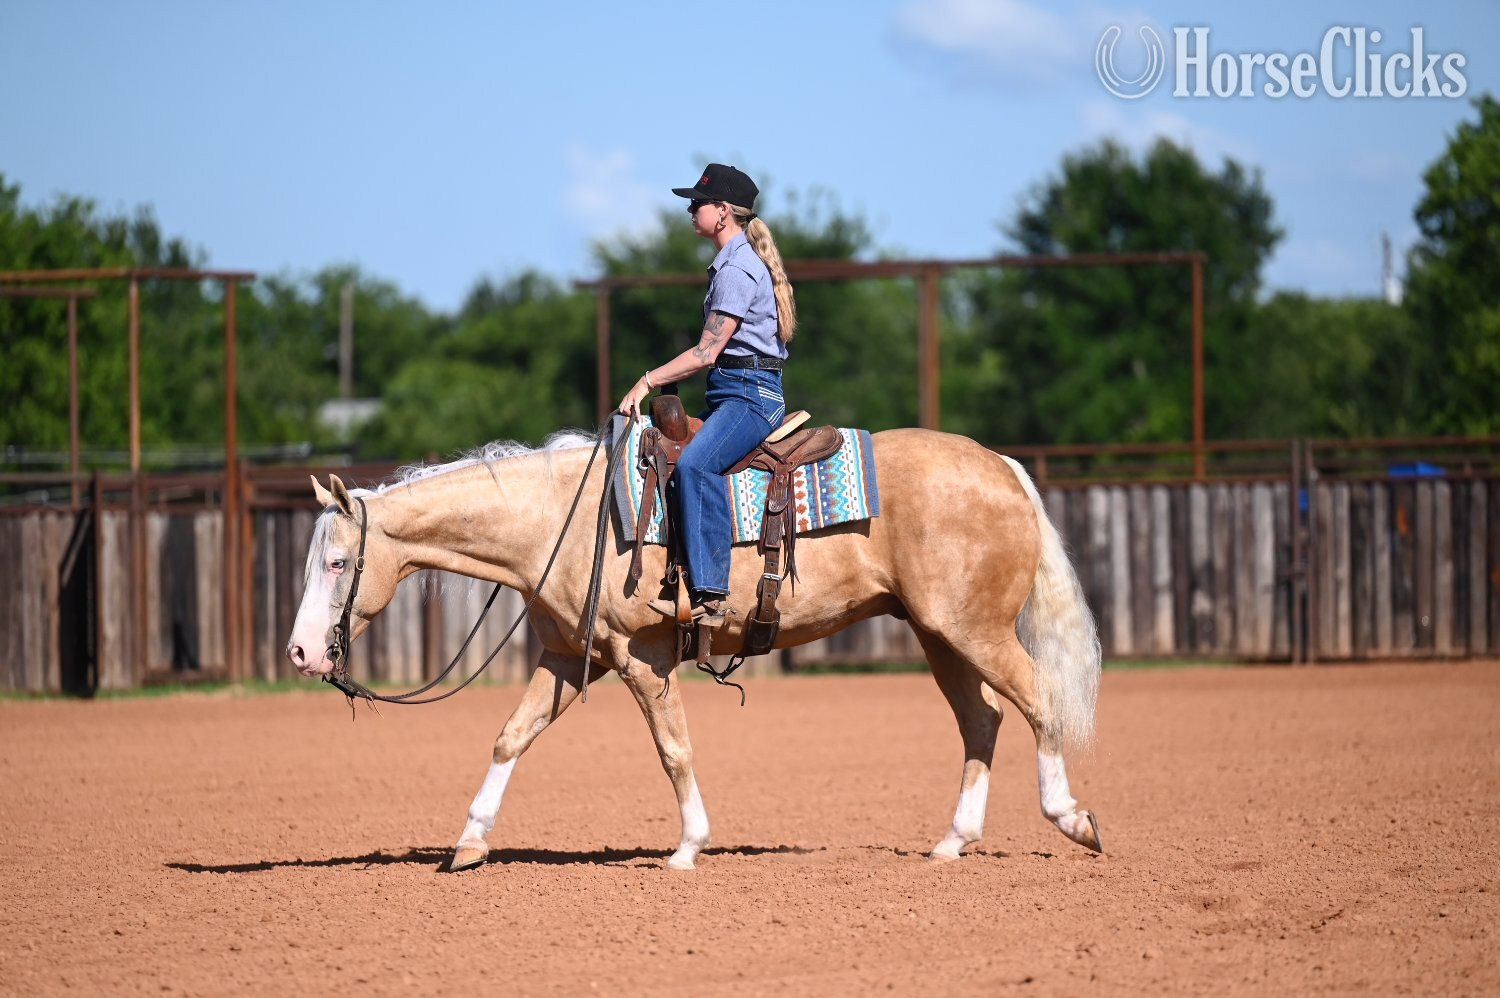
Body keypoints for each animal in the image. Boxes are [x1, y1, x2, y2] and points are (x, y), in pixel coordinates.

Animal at [285, 426, 1103, 872]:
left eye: (338, 563)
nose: (299, 654)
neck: (562, 521)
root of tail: (1003, 467)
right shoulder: (567, 660)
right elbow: (508, 737)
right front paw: (467, 845)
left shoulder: (641, 660)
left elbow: (672, 749)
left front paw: (686, 848)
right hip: (940, 636)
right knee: (983, 720)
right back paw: (953, 842)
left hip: (975, 631)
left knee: (1037, 701)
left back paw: (1072, 818)